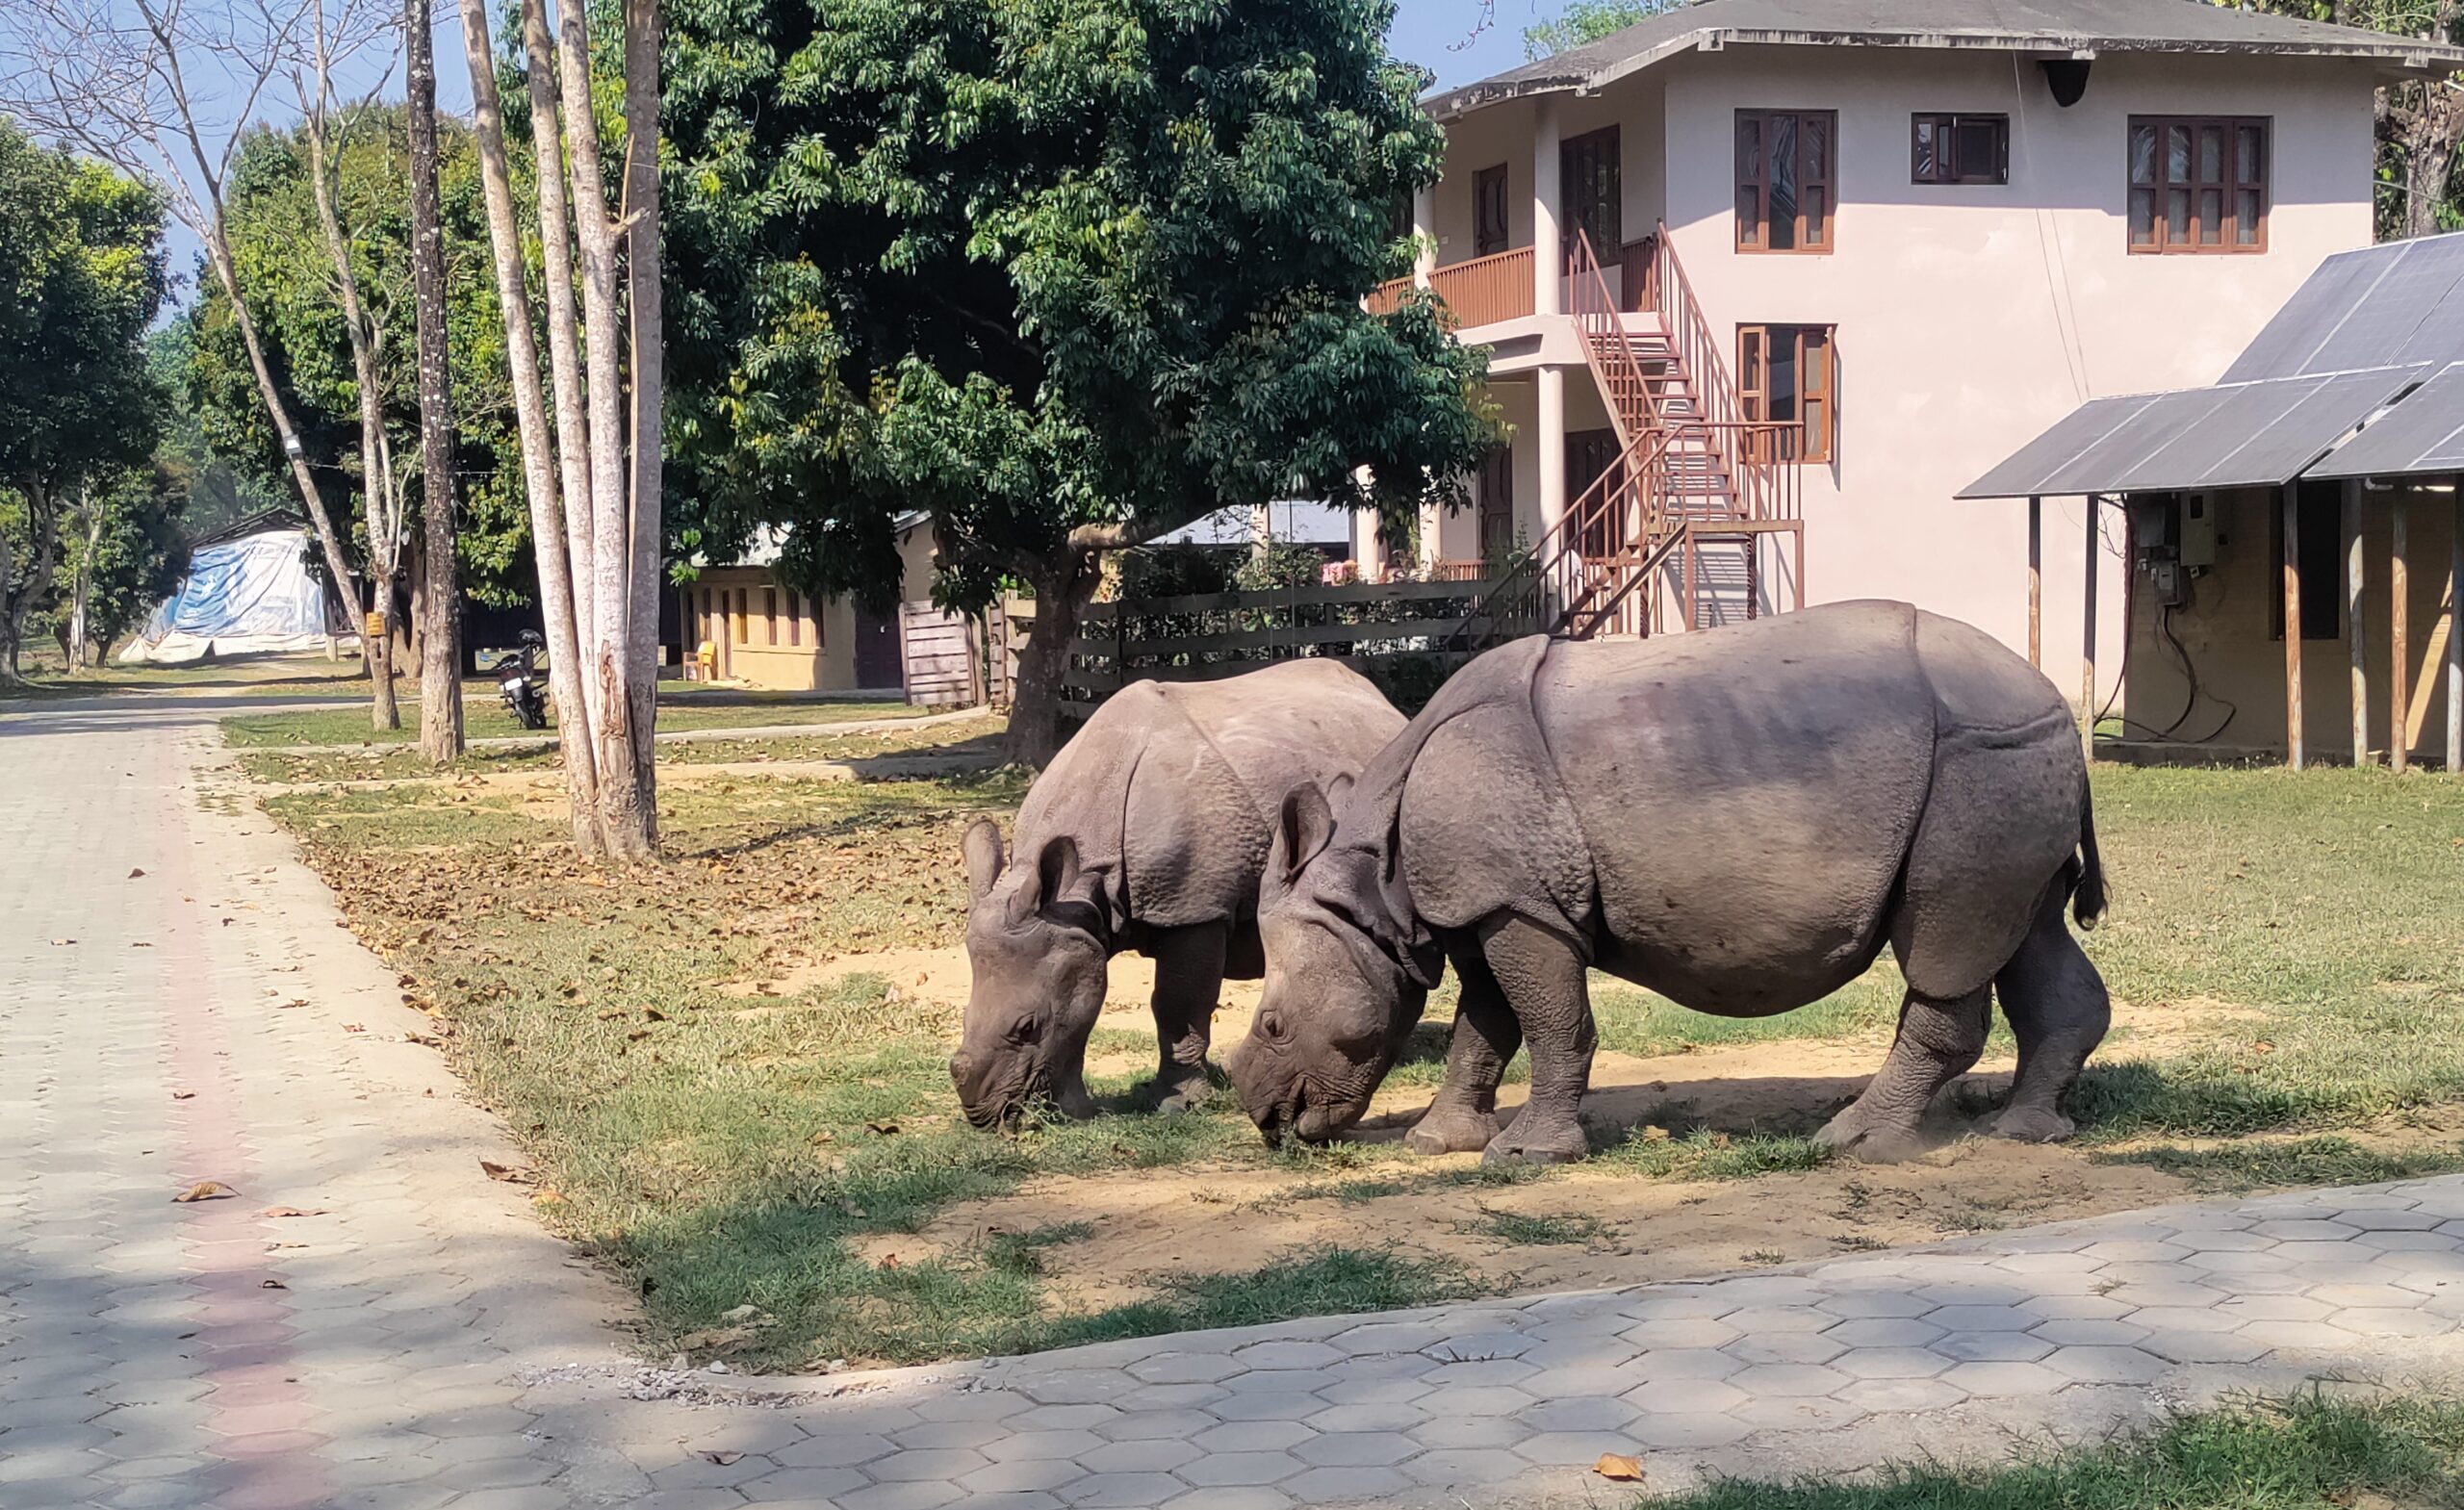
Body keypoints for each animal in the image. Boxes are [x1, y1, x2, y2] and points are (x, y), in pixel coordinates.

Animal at [952, 658, 1406, 1128]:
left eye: (1028, 1027)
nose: (982, 1116)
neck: (1080, 898)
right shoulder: (1075, 931)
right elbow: (1083, 1015)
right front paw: (1078, 1111)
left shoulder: (1193, 909)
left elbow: (1178, 1004)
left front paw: (1179, 1103)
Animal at [1226, 601, 2110, 1165]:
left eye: (1273, 1024)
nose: (1265, 1120)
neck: (1374, 885)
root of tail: (2055, 705)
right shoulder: (1489, 901)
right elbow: (1485, 1028)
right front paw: (1437, 1142)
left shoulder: (1517, 905)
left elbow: (1549, 1023)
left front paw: (1527, 1156)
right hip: (2012, 762)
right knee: (2026, 932)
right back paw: (2026, 1130)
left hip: (1977, 762)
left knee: (1945, 944)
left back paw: (1857, 1144)